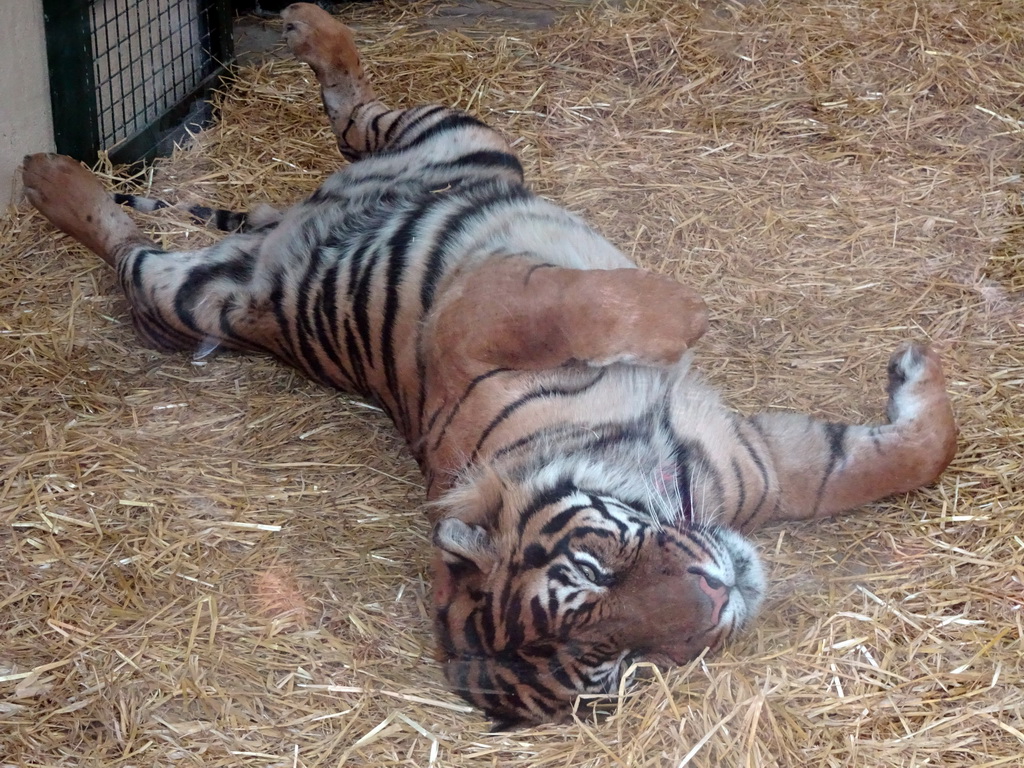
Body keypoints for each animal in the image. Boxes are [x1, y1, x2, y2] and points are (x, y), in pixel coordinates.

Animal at [18, 3, 958, 729]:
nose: (720, 592)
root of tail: (280, 227)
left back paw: (298, 32)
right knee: (124, 242)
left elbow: (910, 456)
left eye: (595, 573)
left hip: (461, 136)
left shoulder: (482, 323)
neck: (659, 478)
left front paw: (888, 363)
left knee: (352, 111)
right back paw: (51, 180)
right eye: (619, 662)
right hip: (190, 300)